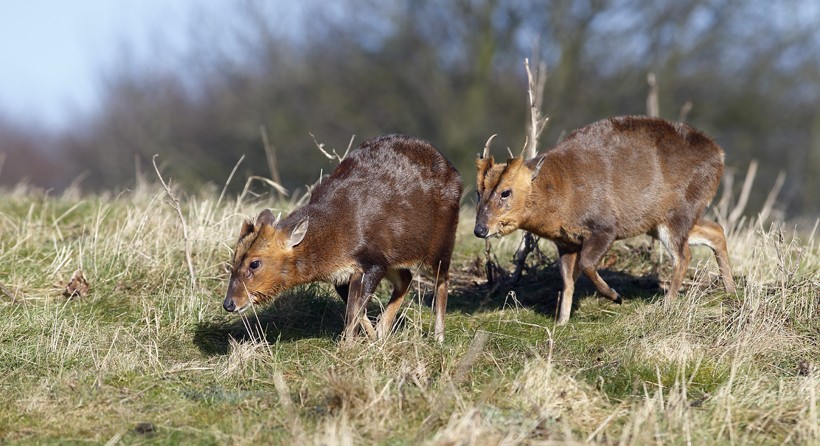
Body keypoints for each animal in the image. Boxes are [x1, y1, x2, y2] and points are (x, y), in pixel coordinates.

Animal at [223, 134, 462, 344]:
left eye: (255, 263)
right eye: (233, 260)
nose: (229, 304)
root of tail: (455, 173)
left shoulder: (371, 260)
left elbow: (354, 311)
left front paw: (348, 347)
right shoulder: (344, 274)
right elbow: (355, 309)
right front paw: (371, 338)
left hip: (442, 240)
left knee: (442, 279)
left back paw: (439, 337)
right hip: (394, 253)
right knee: (406, 277)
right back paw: (383, 331)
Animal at [474, 115, 736, 324]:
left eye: (506, 192)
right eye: (478, 191)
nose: (480, 230)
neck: (560, 192)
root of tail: (720, 155)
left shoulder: (605, 226)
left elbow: (588, 264)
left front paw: (615, 296)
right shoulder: (565, 242)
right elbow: (567, 280)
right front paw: (562, 322)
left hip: (677, 212)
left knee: (684, 255)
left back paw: (667, 304)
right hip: (664, 219)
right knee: (716, 230)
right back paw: (731, 291)